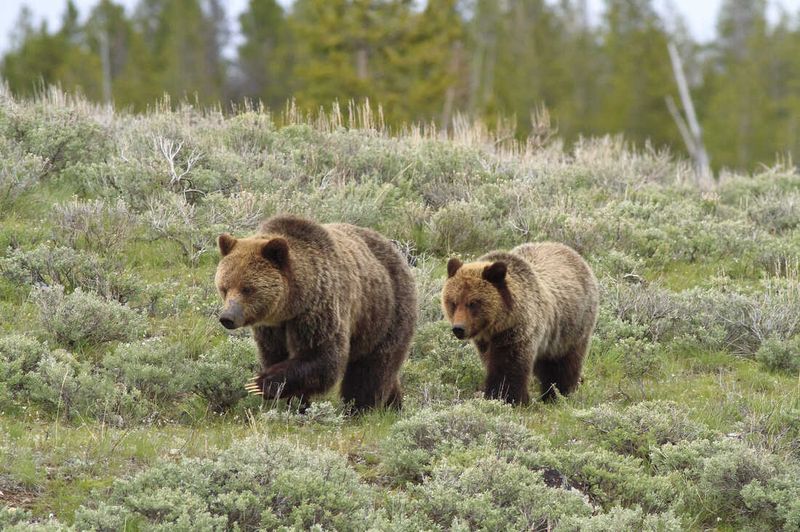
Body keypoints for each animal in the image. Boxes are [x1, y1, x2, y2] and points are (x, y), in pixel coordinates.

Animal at [216, 215, 416, 412]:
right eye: (224, 288)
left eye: (247, 289)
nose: (227, 317)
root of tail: (395, 250)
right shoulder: (271, 328)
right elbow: (274, 354)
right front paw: (296, 403)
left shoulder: (318, 309)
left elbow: (321, 356)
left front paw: (261, 383)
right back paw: (394, 404)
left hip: (384, 313)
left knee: (371, 370)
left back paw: (361, 409)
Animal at [440, 243, 596, 406]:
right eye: (453, 302)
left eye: (473, 303)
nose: (458, 328)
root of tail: (572, 252)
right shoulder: (485, 343)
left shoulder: (517, 334)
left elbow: (508, 368)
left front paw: (507, 398)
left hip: (570, 329)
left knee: (564, 364)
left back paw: (558, 394)